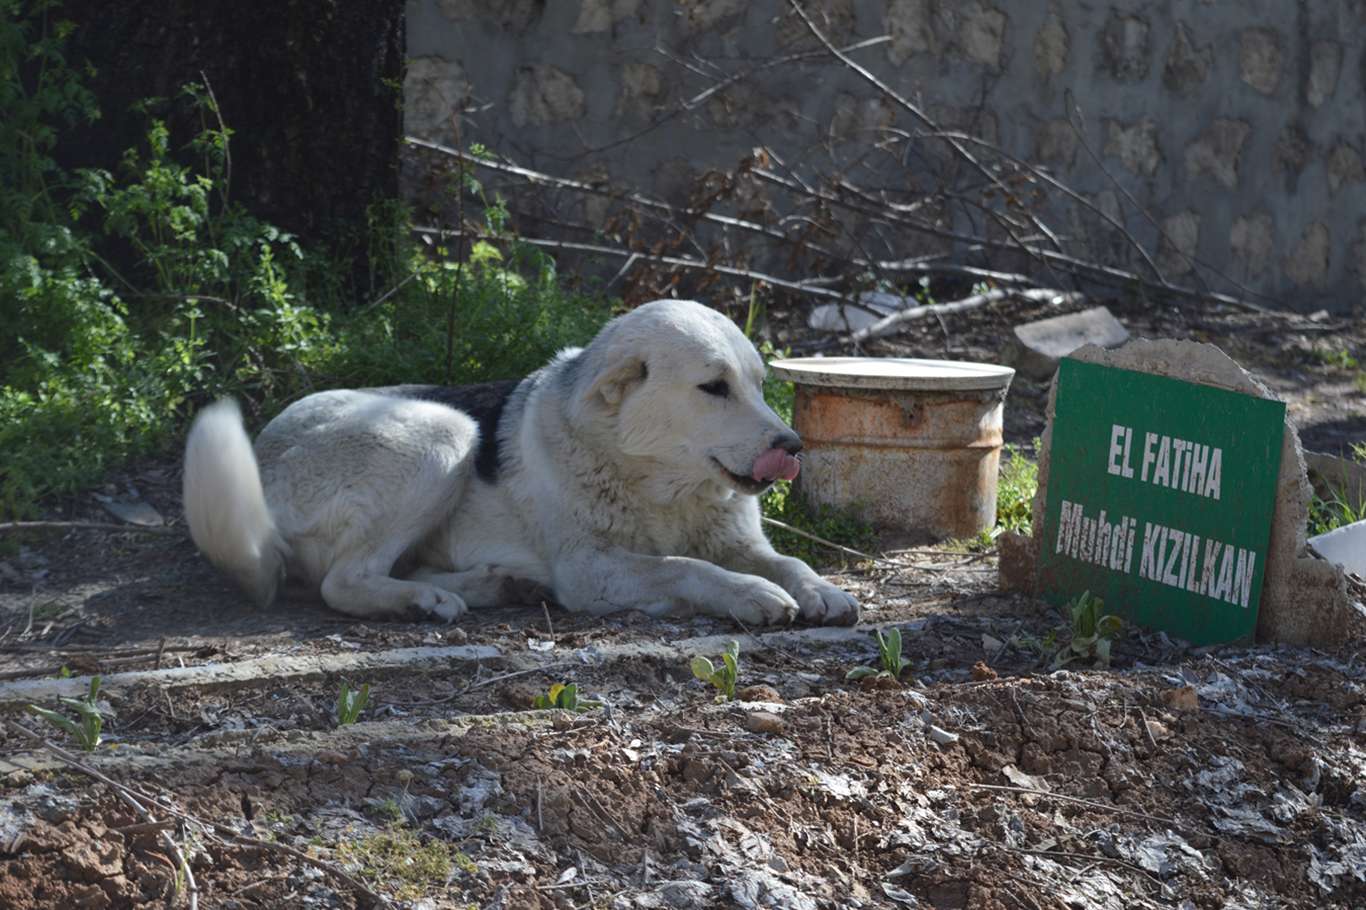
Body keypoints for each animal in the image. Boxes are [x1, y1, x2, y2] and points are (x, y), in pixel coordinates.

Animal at [184, 297, 852, 623]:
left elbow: (787, 560)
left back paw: (493, 585)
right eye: (714, 388)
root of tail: (264, 449)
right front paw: (749, 593)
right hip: (443, 432)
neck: (655, 482)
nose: (793, 448)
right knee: (342, 582)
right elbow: (686, 566)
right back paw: (423, 603)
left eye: (758, 385)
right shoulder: (590, 569)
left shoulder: (739, 541)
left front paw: (821, 589)